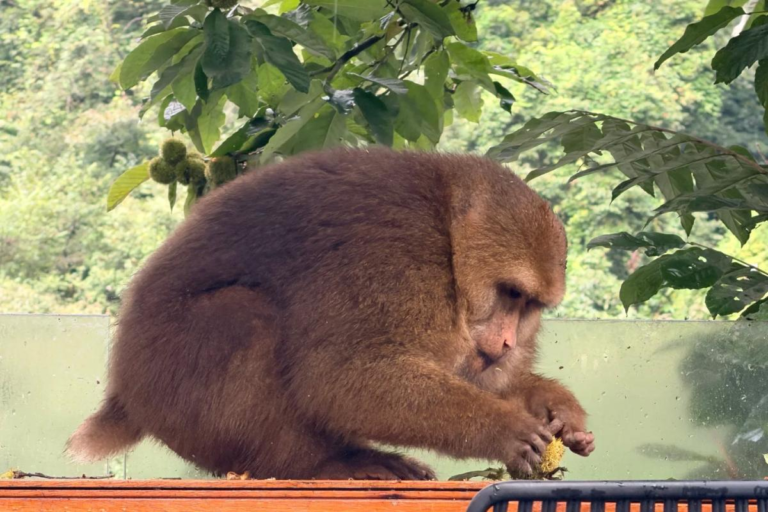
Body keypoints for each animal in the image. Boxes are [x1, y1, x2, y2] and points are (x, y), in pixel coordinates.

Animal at [66, 147, 595, 480]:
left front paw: (552, 403)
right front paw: (500, 427)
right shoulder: (400, 258)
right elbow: (338, 377)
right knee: (246, 317)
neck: (447, 238)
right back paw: (323, 465)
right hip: (168, 384)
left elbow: (476, 375)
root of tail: (125, 391)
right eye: (510, 293)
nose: (508, 341)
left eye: (530, 305)